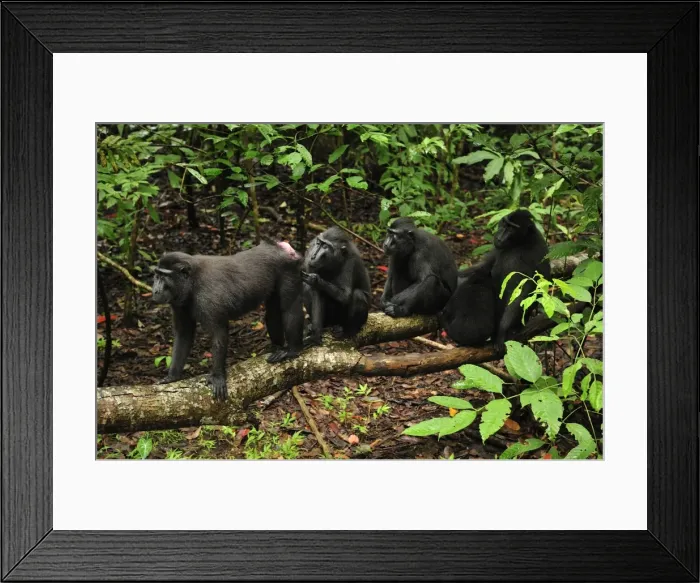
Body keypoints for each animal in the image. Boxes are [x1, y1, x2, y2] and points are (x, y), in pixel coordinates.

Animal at [151, 242, 304, 400]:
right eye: (157, 275)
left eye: (164, 276)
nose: (155, 290)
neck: (192, 282)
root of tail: (281, 248)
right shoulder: (178, 303)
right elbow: (184, 334)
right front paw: (172, 376)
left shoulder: (208, 298)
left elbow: (219, 334)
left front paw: (217, 376)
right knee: (273, 313)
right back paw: (277, 347)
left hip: (288, 269)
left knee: (290, 307)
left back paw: (293, 349)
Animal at [458, 209, 550, 355]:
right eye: (505, 223)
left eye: (512, 228)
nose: (500, 236)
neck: (521, 242)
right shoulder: (498, 249)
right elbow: (482, 268)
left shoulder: (520, 259)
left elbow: (520, 294)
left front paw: (502, 332)